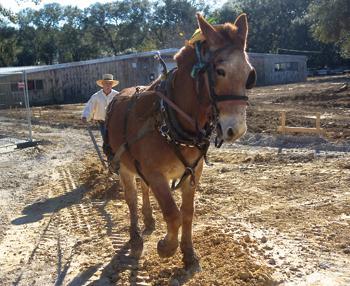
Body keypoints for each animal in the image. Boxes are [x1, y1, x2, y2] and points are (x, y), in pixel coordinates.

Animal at [105, 12, 256, 270]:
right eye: (220, 71)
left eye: (248, 73)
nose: (236, 130)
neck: (169, 118)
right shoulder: (156, 174)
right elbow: (172, 213)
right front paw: (167, 247)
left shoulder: (193, 172)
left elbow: (187, 212)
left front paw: (188, 252)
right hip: (123, 164)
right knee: (131, 198)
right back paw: (135, 237)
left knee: (143, 190)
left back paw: (148, 219)